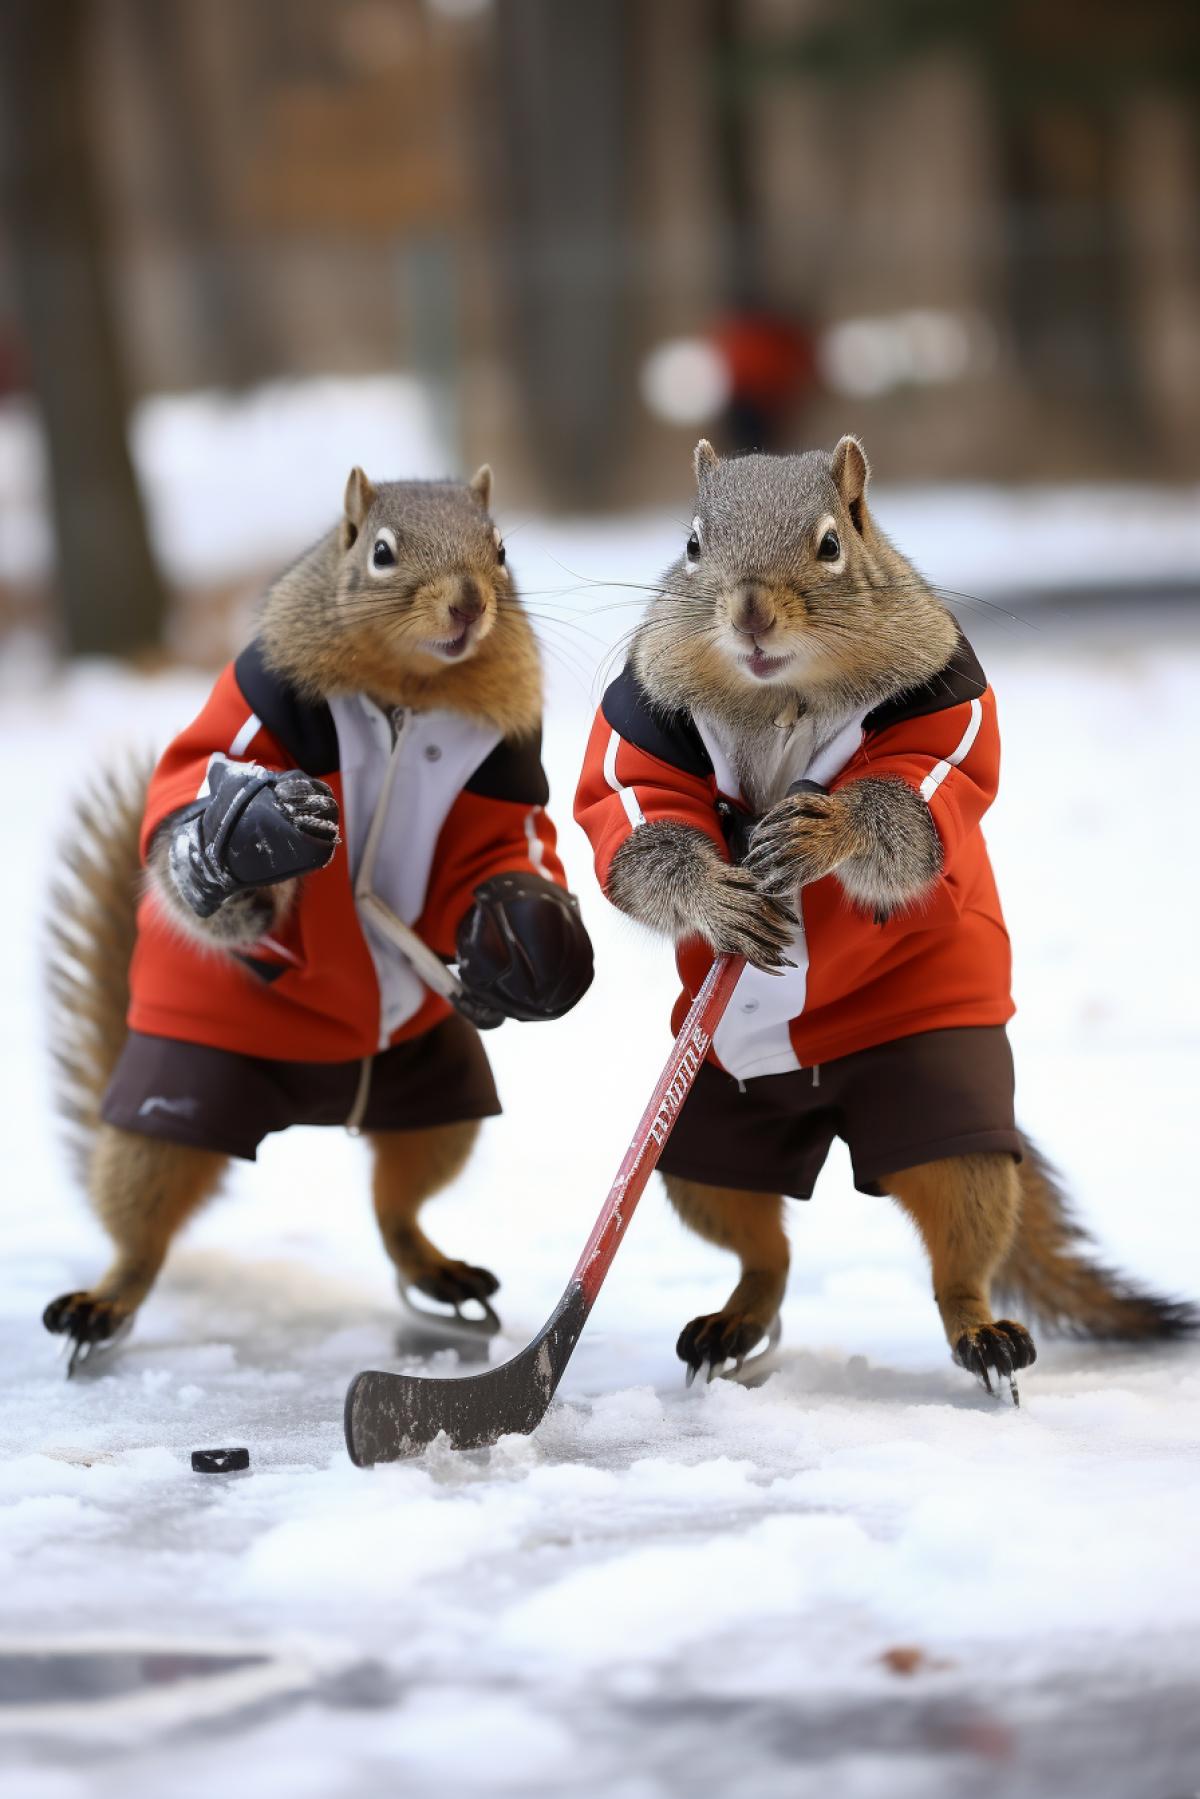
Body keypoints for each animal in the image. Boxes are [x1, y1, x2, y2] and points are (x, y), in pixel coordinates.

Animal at [44, 464, 594, 1368]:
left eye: (502, 551)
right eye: (381, 553)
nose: (468, 604)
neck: (409, 696)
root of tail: (322, 1103)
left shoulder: (504, 774)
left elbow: (497, 855)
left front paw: (532, 935)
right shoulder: (256, 710)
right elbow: (184, 802)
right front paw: (248, 837)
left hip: (439, 1100)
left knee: (397, 1206)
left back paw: (440, 1273)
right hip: (171, 1105)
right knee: (141, 1223)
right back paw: (105, 1301)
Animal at [575, 435, 1196, 1392]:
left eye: (833, 543)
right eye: (691, 544)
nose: (751, 614)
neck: (779, 698)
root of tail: (829, 1105)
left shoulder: (947, 710)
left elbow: (910, 820)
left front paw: (825, 829)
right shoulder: (641, 728)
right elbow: (635, 833)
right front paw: (717, 896)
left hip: (947, 1116)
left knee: (960, 1246)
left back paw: (984, 1335)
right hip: (709, 1142)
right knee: (765, 1252)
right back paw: (732, 1324)